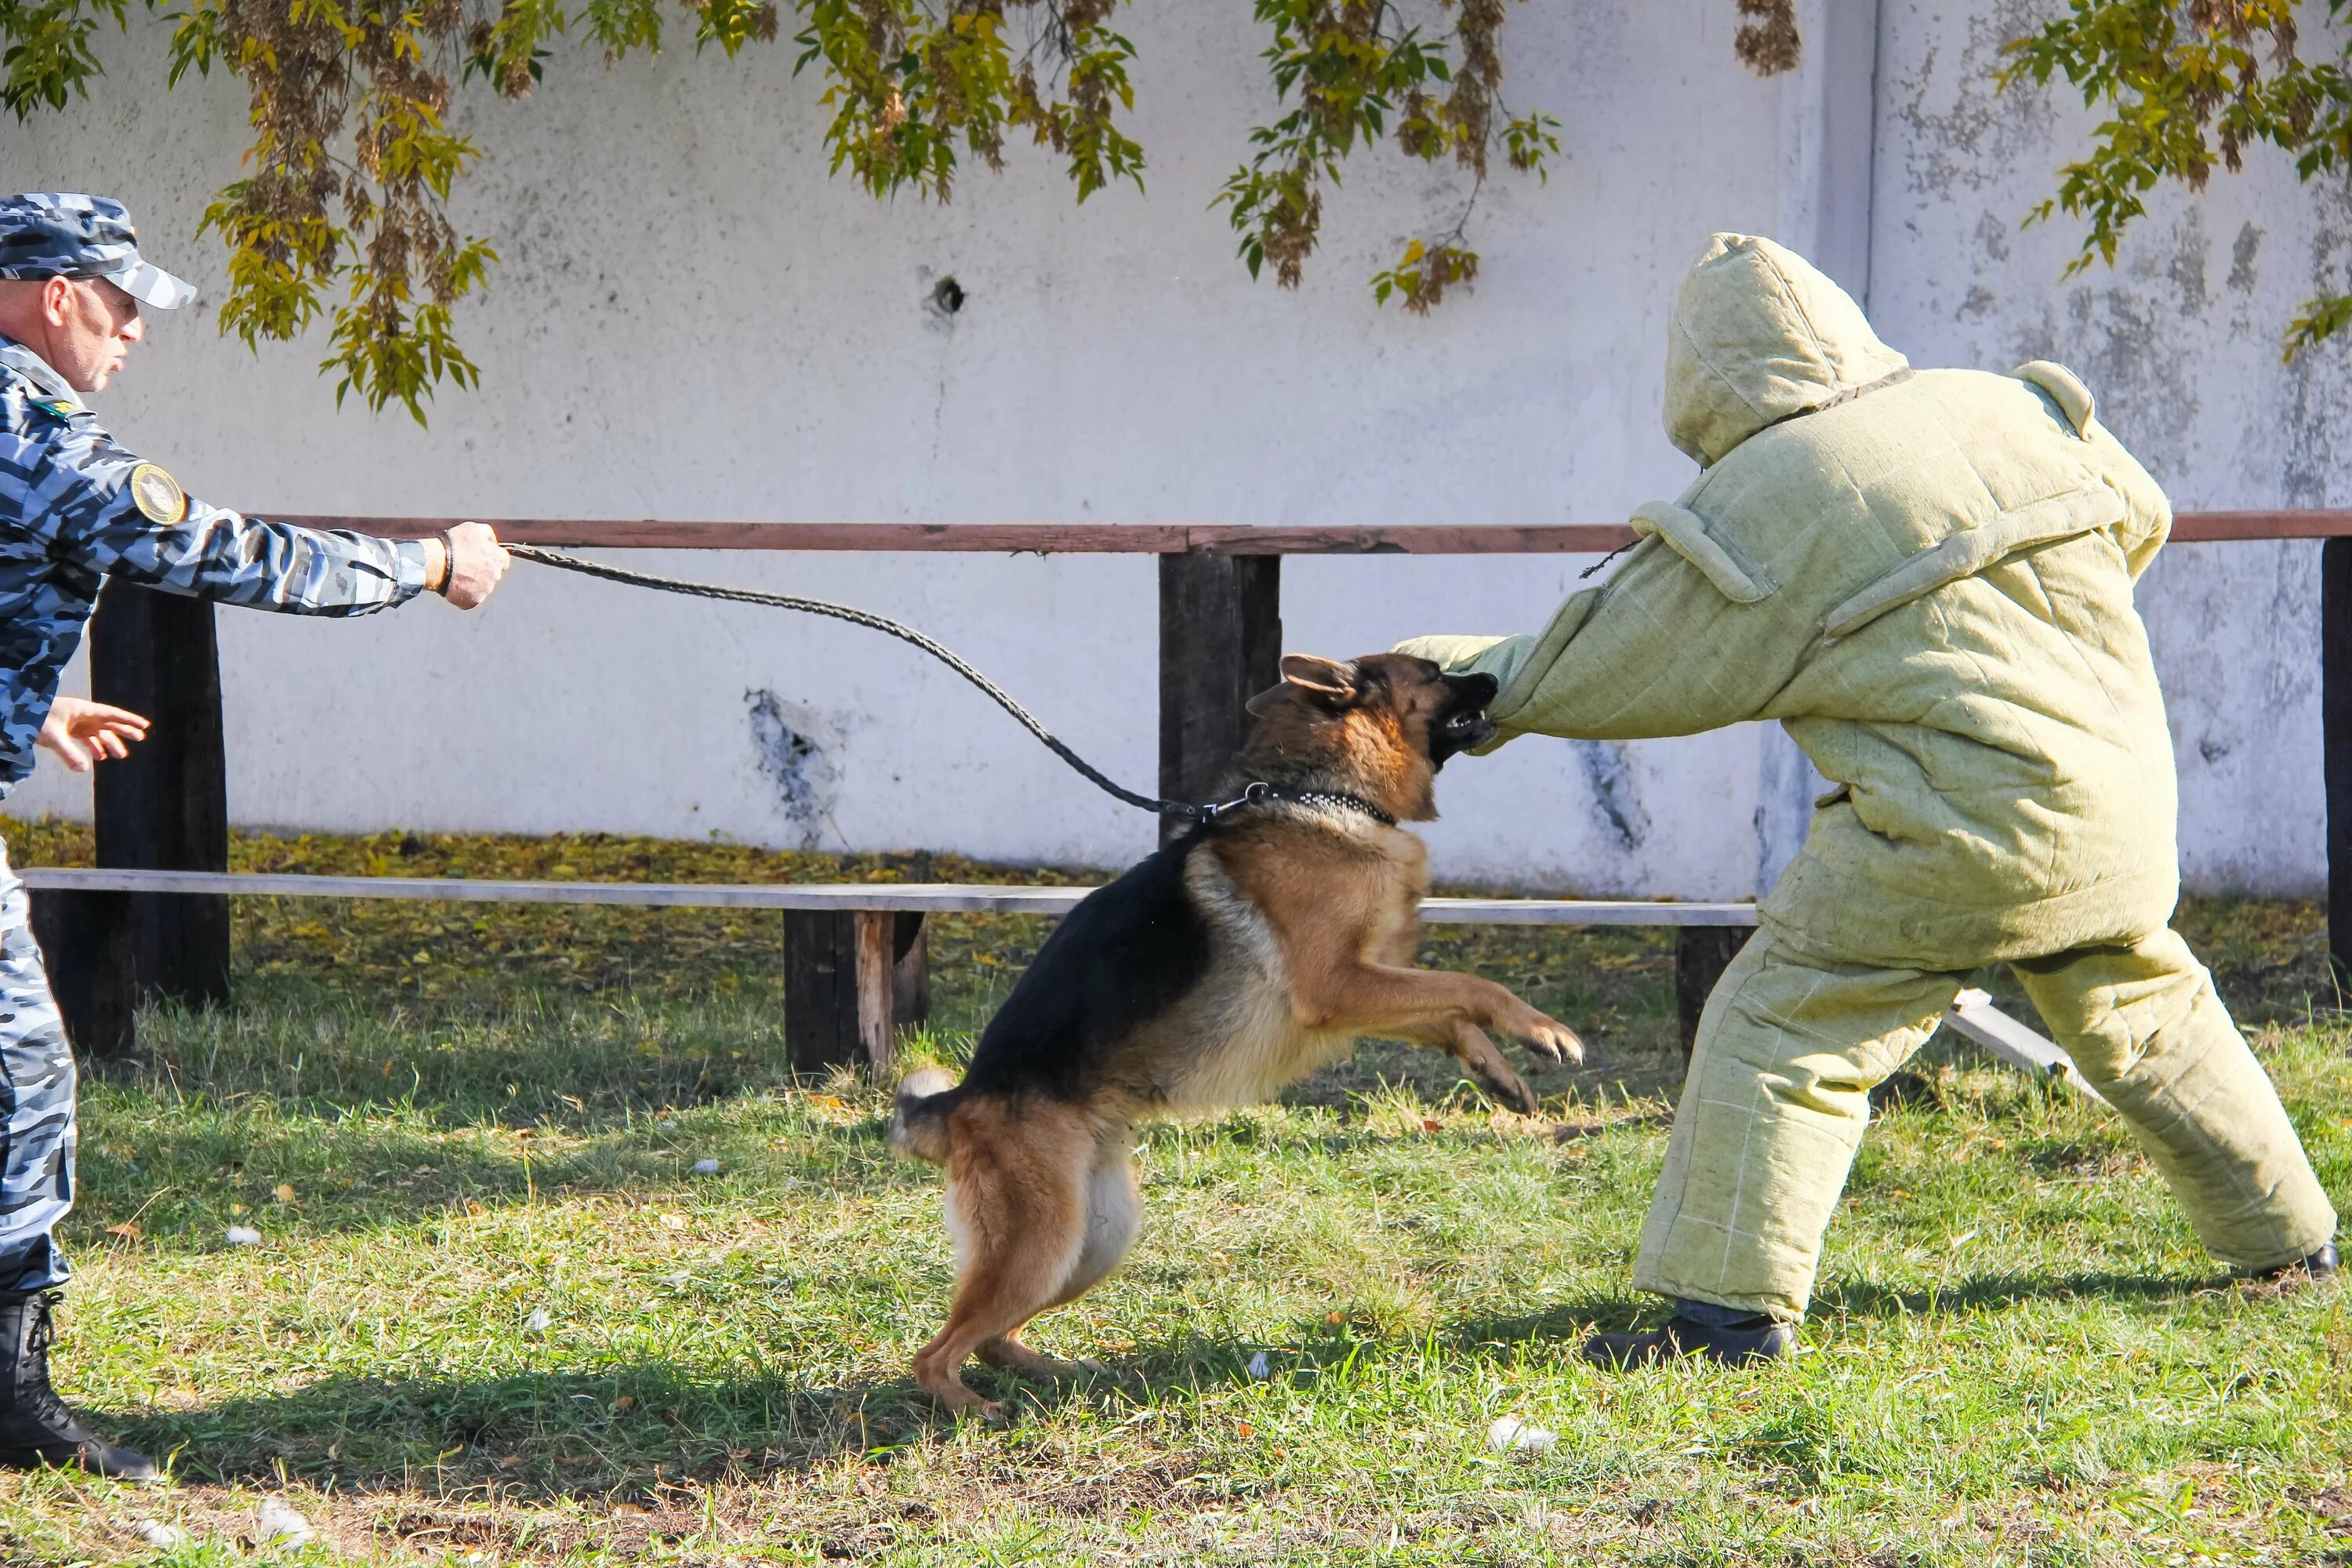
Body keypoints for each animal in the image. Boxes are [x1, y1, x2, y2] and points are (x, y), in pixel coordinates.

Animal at [889, 658, 1590, 1420]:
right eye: (1434, 673)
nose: (1491, 675)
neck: (1329, 795)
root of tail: (958, 1103)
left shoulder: (1358, 991)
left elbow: (1451, 1012)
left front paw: (1498, 1073)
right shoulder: (1337, 986)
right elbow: (1471, 985)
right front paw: (1544, 1029)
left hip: (1092, 1242)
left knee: (991, 1337)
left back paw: (1047, 1369)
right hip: (1040, 1244)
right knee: (935, 1353)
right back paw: (970, 1406)